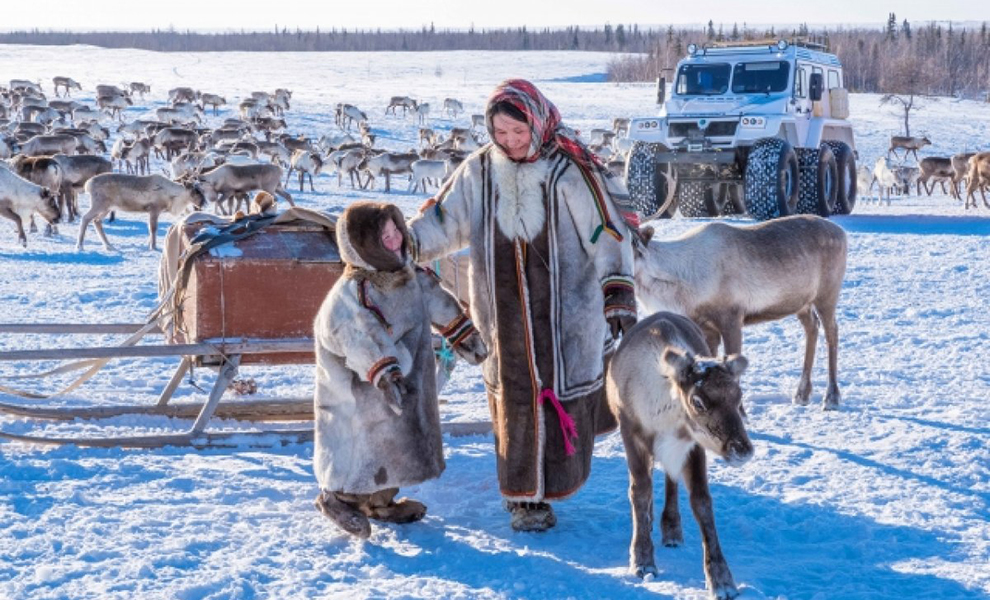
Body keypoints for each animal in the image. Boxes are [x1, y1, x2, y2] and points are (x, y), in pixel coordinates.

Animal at [604, 312, 752, 600]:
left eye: (738, 396)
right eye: (698, 401)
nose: (742, 449)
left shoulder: (693, 444)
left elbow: (701, 502)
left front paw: (722, 580)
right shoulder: (632, 434)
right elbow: (639, 491)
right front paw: (642, 560)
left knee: (670, 480)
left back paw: (671, 528)